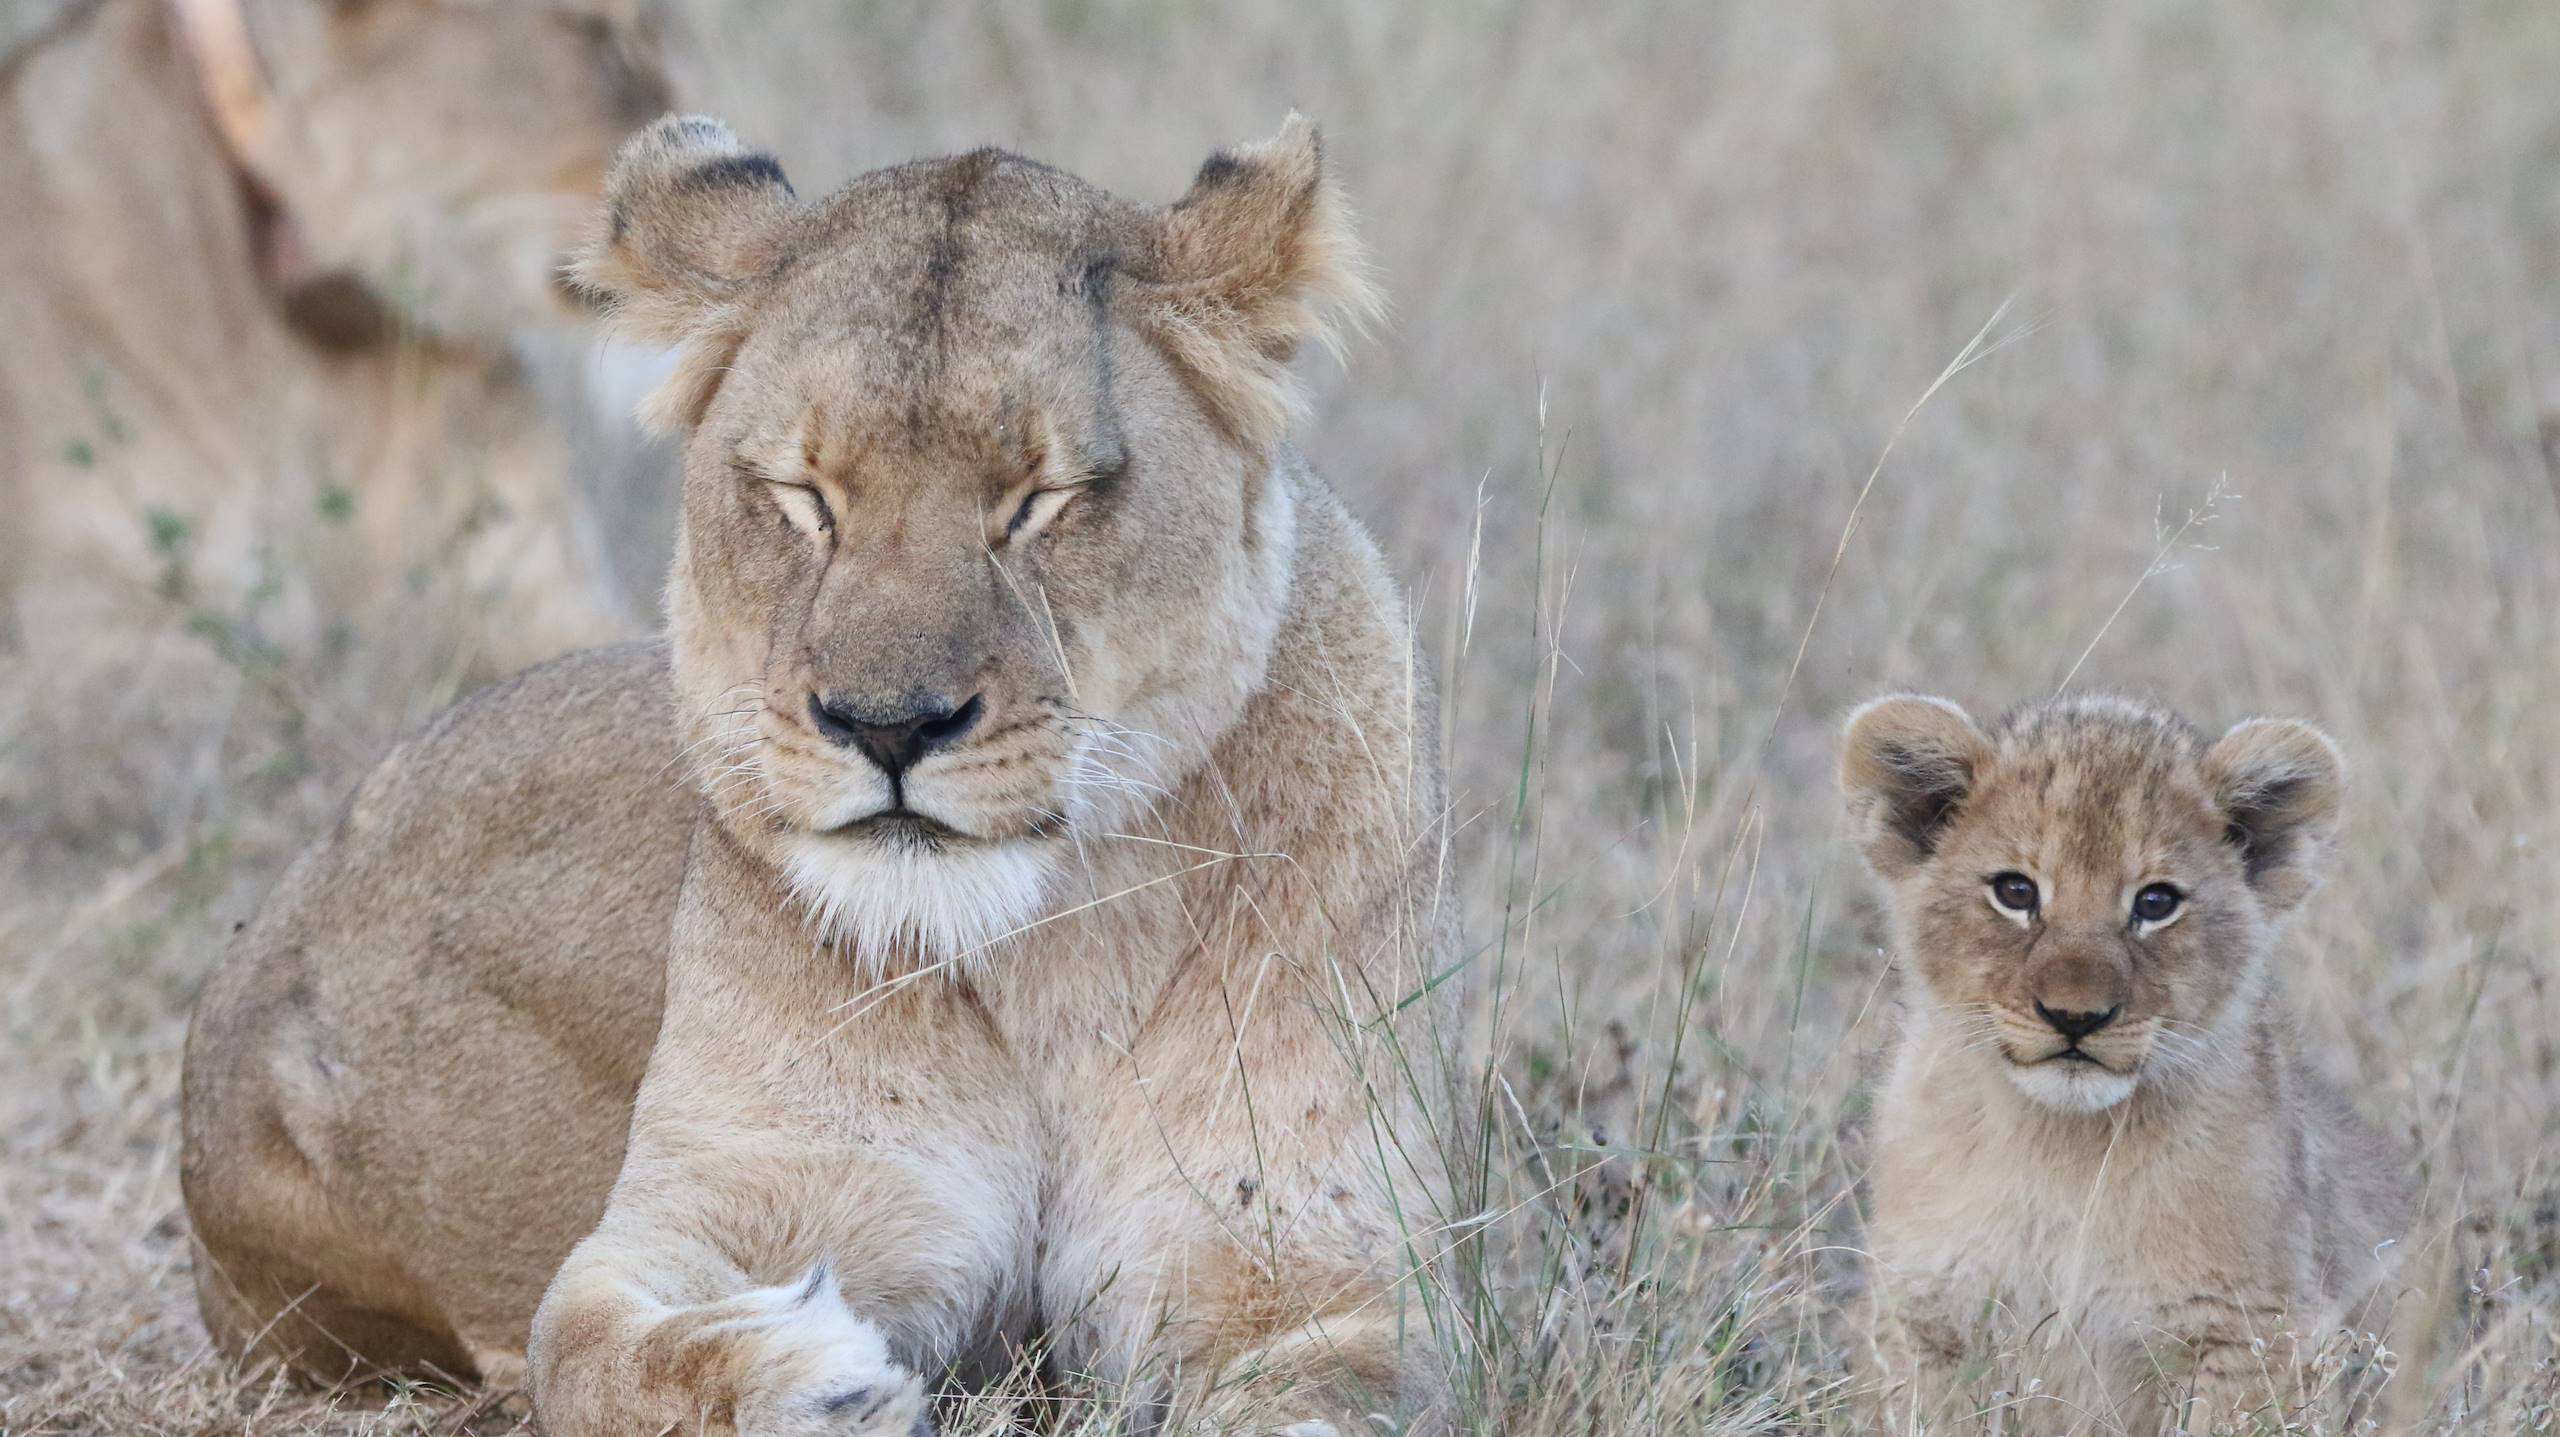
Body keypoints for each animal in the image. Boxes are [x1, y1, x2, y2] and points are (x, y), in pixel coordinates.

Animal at [181, 114, 1456, 1436]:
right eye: (804, 497)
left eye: (1039, 499)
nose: (888, 726)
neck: (1044, 969)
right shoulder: (735, 1190)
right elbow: (583, 1346)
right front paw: (804, 1378)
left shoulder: (1312, 1263)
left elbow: (1322, 1395)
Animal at [1839, 693, 2413, 1432]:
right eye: (2015, 891)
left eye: (2156, 902)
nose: (2075, 1016)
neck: (2060, 1149)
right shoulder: (1924, 1319)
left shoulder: (2248, 1333)